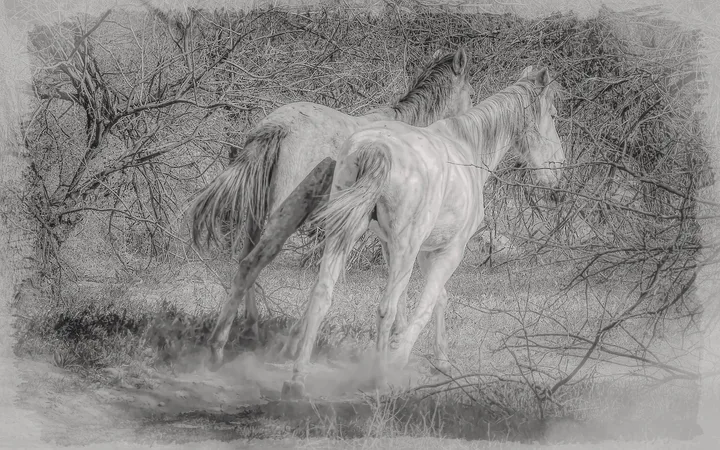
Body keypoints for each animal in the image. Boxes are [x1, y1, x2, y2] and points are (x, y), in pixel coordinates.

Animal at [188, 48, 474, 367]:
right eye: (471, 93)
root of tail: (275, 127)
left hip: (257, 217)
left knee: (245, 262)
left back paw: (245, 331)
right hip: (287, 215)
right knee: (255, 261)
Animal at [280, 66, 565, 400]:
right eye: (553, 115)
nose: (559, 174)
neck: (468, 148)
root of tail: (375, 148)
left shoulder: (409, 249)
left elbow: (434, 299)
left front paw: (439, 360)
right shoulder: (448, 251)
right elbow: (426, 304)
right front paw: (399, 358)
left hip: (344, 235)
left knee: (322, 295)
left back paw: (297, 378)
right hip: (403, 247)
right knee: (384, 308)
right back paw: (377, 379)